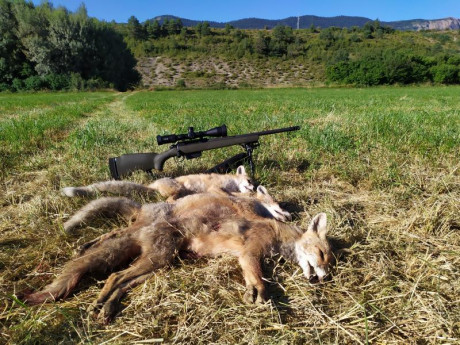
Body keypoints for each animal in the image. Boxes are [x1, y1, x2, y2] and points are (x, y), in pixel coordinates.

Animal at [24, 192, 330, 322]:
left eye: (329, 262)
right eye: (322, 254)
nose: (324, 278)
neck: (277, 233)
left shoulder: (249, 255)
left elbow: (255, 279)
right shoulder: (249, 252)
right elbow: (258, 279)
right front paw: (260, 296)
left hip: (158, 266)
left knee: (119, 280)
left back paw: (106, 307)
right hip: (157, 260)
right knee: (114, 274)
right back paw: (99, 305)